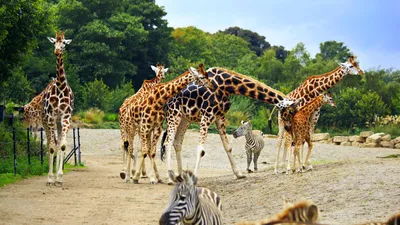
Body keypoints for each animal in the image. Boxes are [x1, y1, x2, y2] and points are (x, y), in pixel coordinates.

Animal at [159, 67, 300, 185]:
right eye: (290, 112)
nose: (289, 128)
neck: (226, 86)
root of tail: (166, 102)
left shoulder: (219, 117)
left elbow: (228, 147)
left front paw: (239, 174)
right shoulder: (207, 115)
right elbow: (200, 149)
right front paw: (194, 178)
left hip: (184, 118)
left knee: (177, 142)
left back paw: (179, 176)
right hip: (174, 115)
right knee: (167, 142)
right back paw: (170, 179)